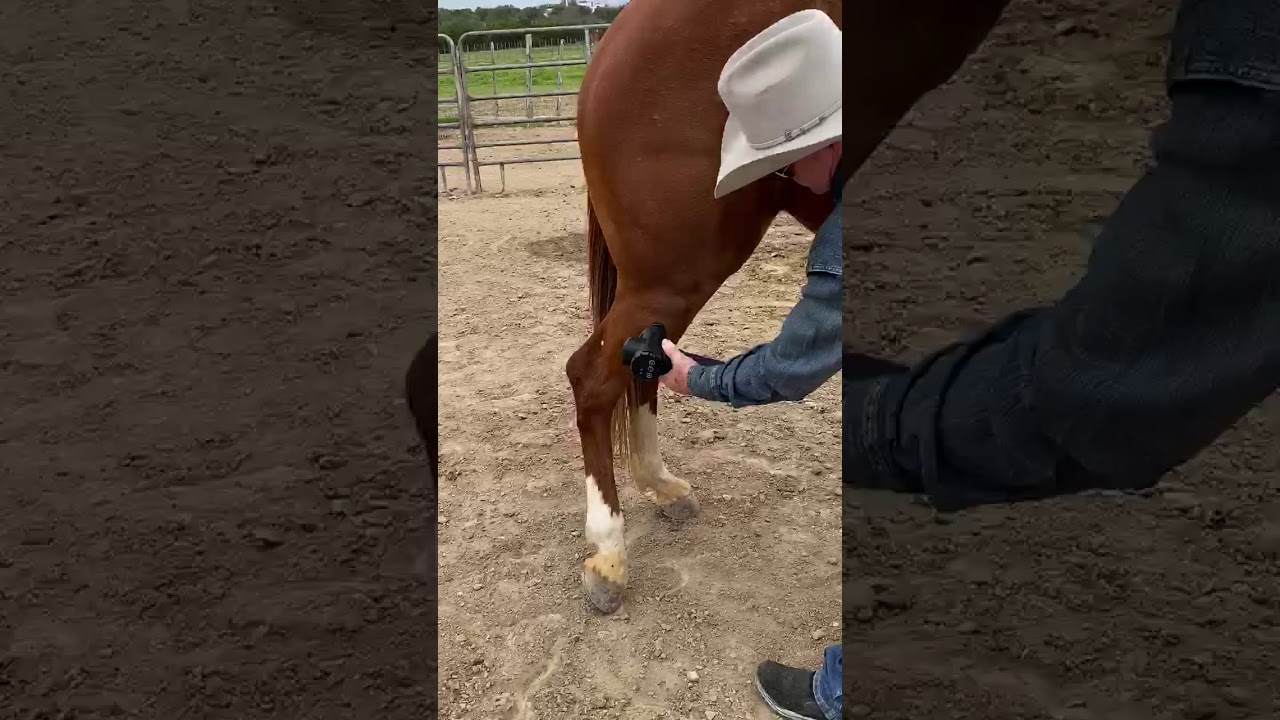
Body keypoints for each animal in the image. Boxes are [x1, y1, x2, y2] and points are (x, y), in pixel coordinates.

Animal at [567, 0, 1011, 613]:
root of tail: (608, 50)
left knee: (637, 371)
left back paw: (663, 488)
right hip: (674, 270)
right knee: (594, 376)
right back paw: (608, 557)